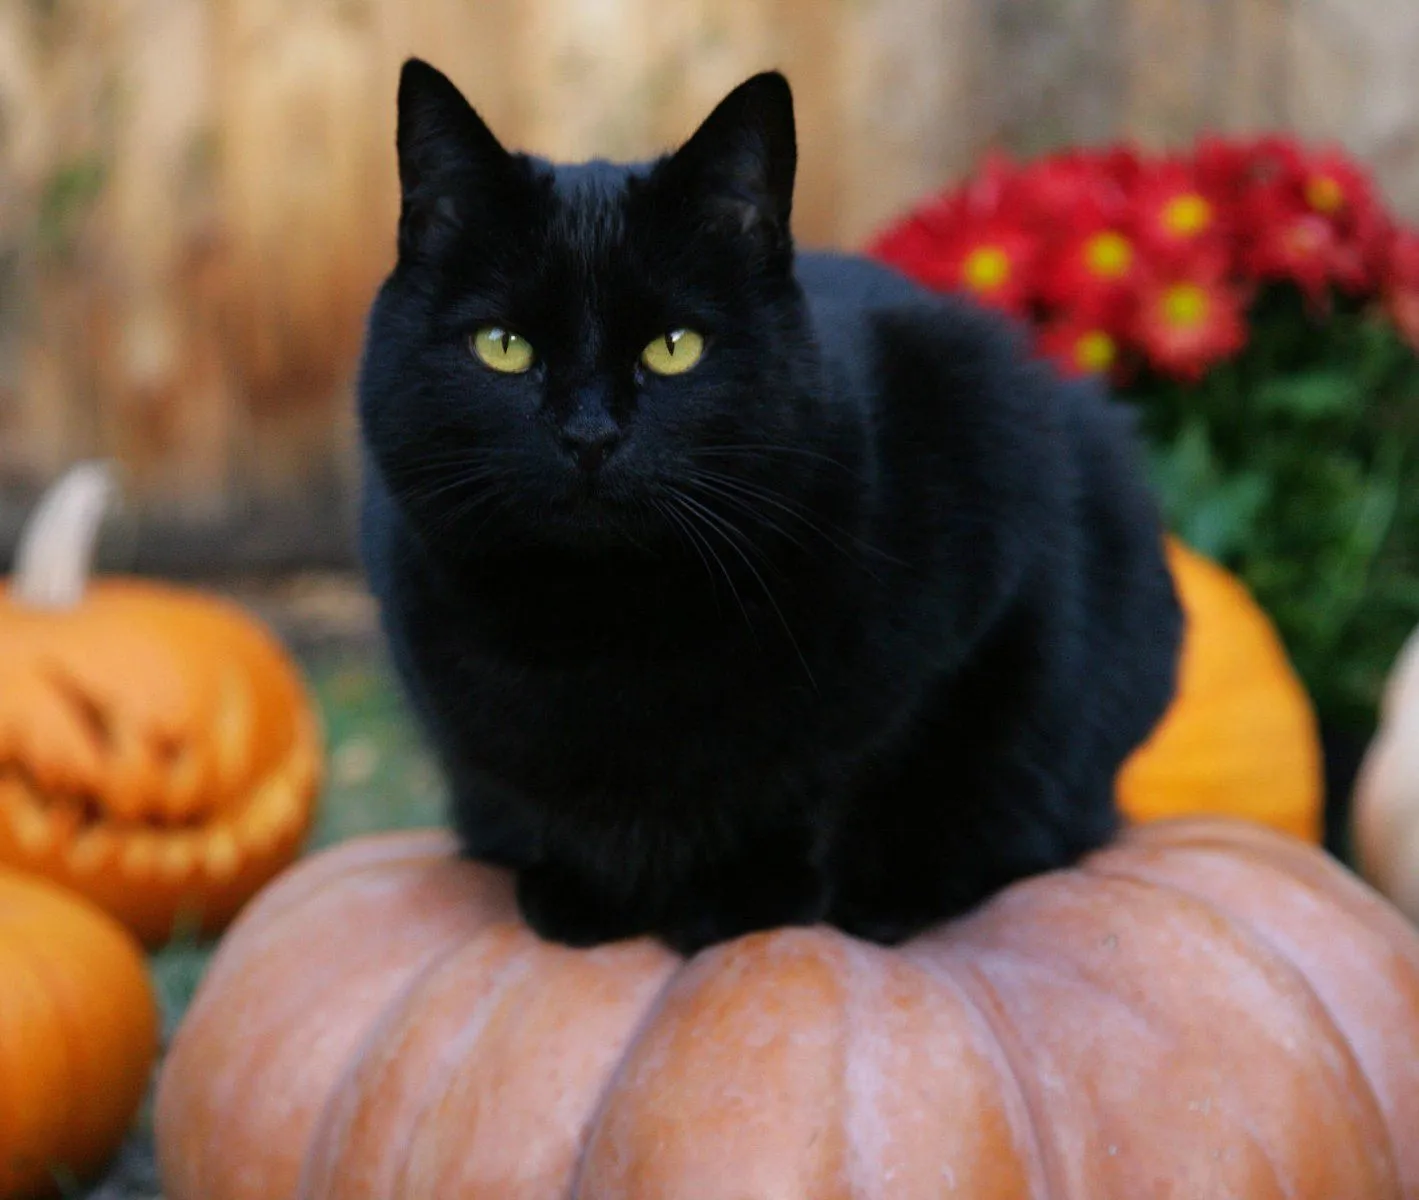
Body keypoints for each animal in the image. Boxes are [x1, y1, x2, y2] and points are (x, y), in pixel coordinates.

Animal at [357, 58, 1186, 958]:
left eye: (674, 348)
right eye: (503, 347)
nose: (588, 434)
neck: (604, 625)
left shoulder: (976, 564)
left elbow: (829, 776)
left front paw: (744, 899)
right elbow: (541, 799)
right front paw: (586, 895)